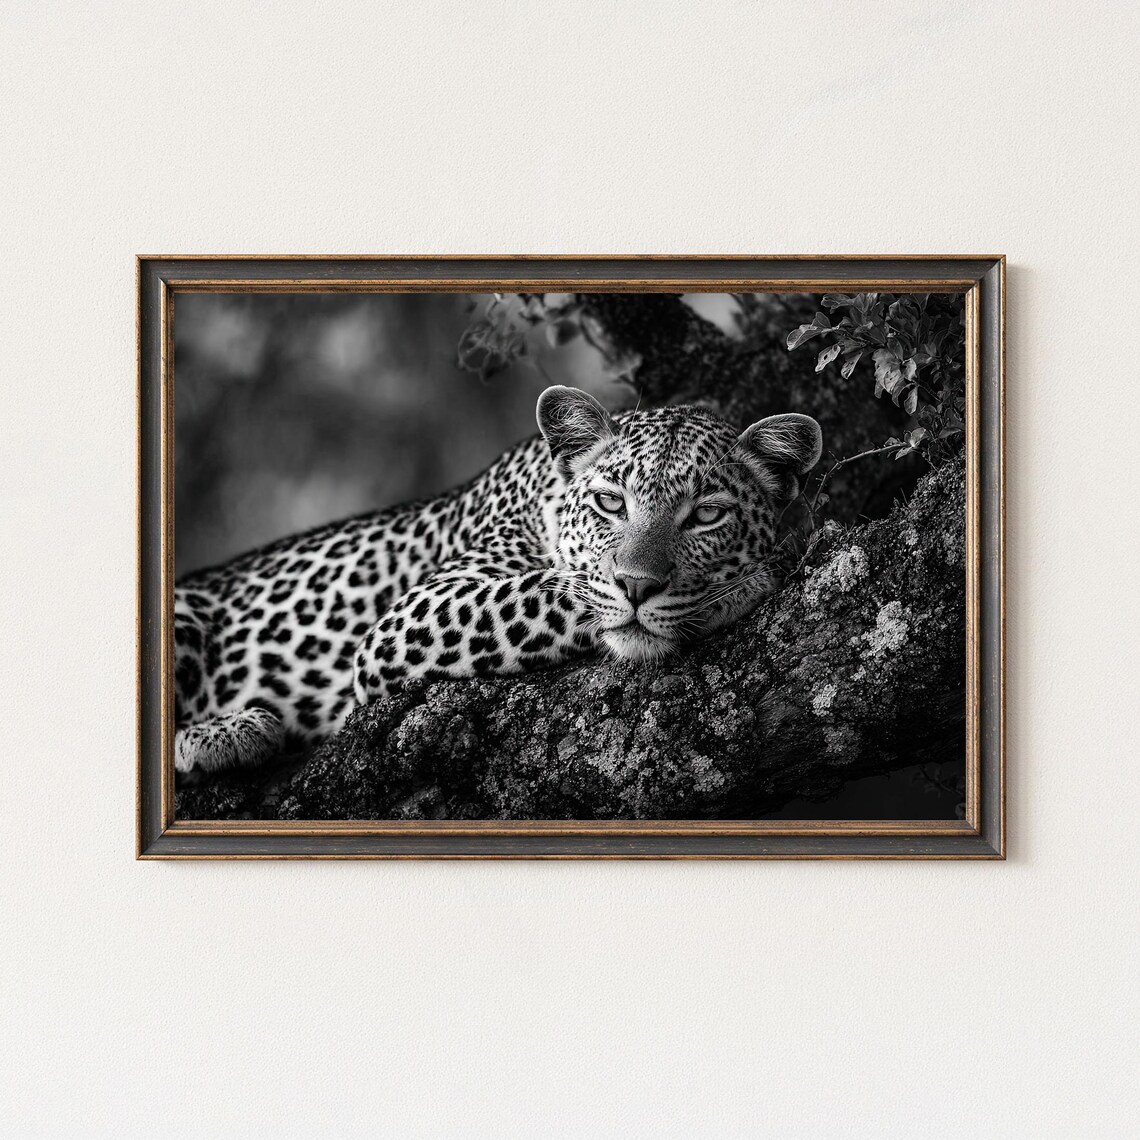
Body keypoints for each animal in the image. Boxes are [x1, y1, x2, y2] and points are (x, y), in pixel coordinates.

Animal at [173, 385, 822, 773]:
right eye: (611, 503)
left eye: (707, 515)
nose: (638, 586)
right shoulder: (408, 618)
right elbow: (558, 591)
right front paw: (739, 587)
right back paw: (227, 733)